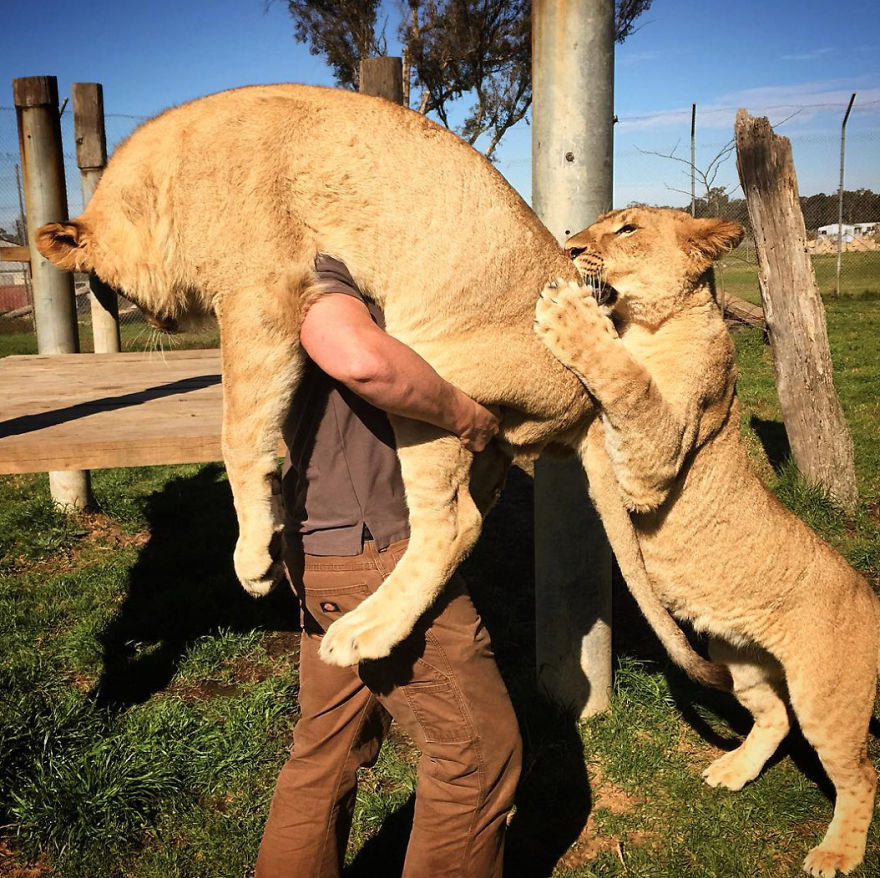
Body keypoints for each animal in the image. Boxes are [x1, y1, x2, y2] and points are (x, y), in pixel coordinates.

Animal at [533, 205, 879, 877]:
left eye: (627, 228)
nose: (572, 246)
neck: (649, 321)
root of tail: (871, 597)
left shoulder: (658, 454)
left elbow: (627, 380)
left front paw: (569, 314)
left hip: (828, 696)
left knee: (861, 774)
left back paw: (836, 853)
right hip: (738, 658)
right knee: (774, 719)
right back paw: (732, 770)